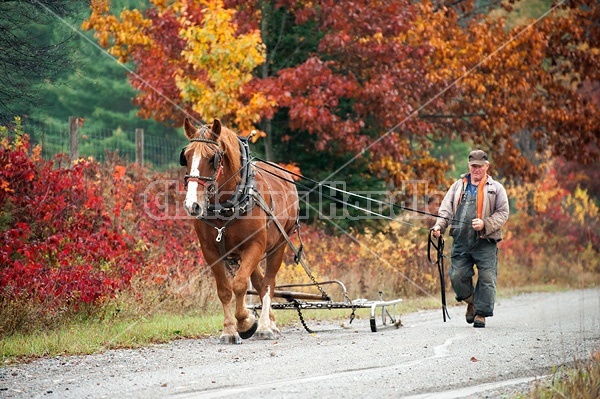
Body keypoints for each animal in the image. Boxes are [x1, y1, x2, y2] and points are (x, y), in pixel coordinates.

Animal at [179, 118, 298, 344]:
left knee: (268, 284)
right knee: (259, 282)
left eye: (212, 158)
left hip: (278, 245)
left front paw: (246, 322)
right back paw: (270, 322)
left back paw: (265, 327)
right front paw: (229, 330)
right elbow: (225, 290)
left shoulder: (255, 245)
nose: (192, 205)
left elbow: (240, 284)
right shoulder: (211, 252)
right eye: (186, 157)